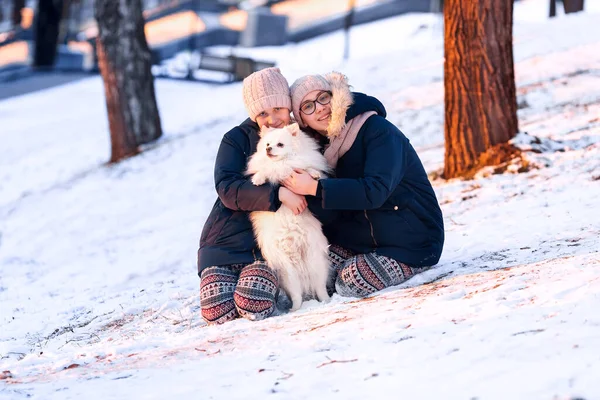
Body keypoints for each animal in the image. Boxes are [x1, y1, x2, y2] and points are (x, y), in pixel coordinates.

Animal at [246, 123, 336, 310]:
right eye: (267, 145)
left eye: (280, 144)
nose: (268, 149)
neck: (284, 163)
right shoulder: (273, 169)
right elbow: (266, 170)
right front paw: (258, 178)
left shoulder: (299, 164)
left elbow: (307, 168)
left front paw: (313, 174)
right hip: (288, 273)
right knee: (296, 295)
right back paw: (295, 308)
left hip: (315, 261)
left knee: (320, 287)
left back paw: (325, 301)